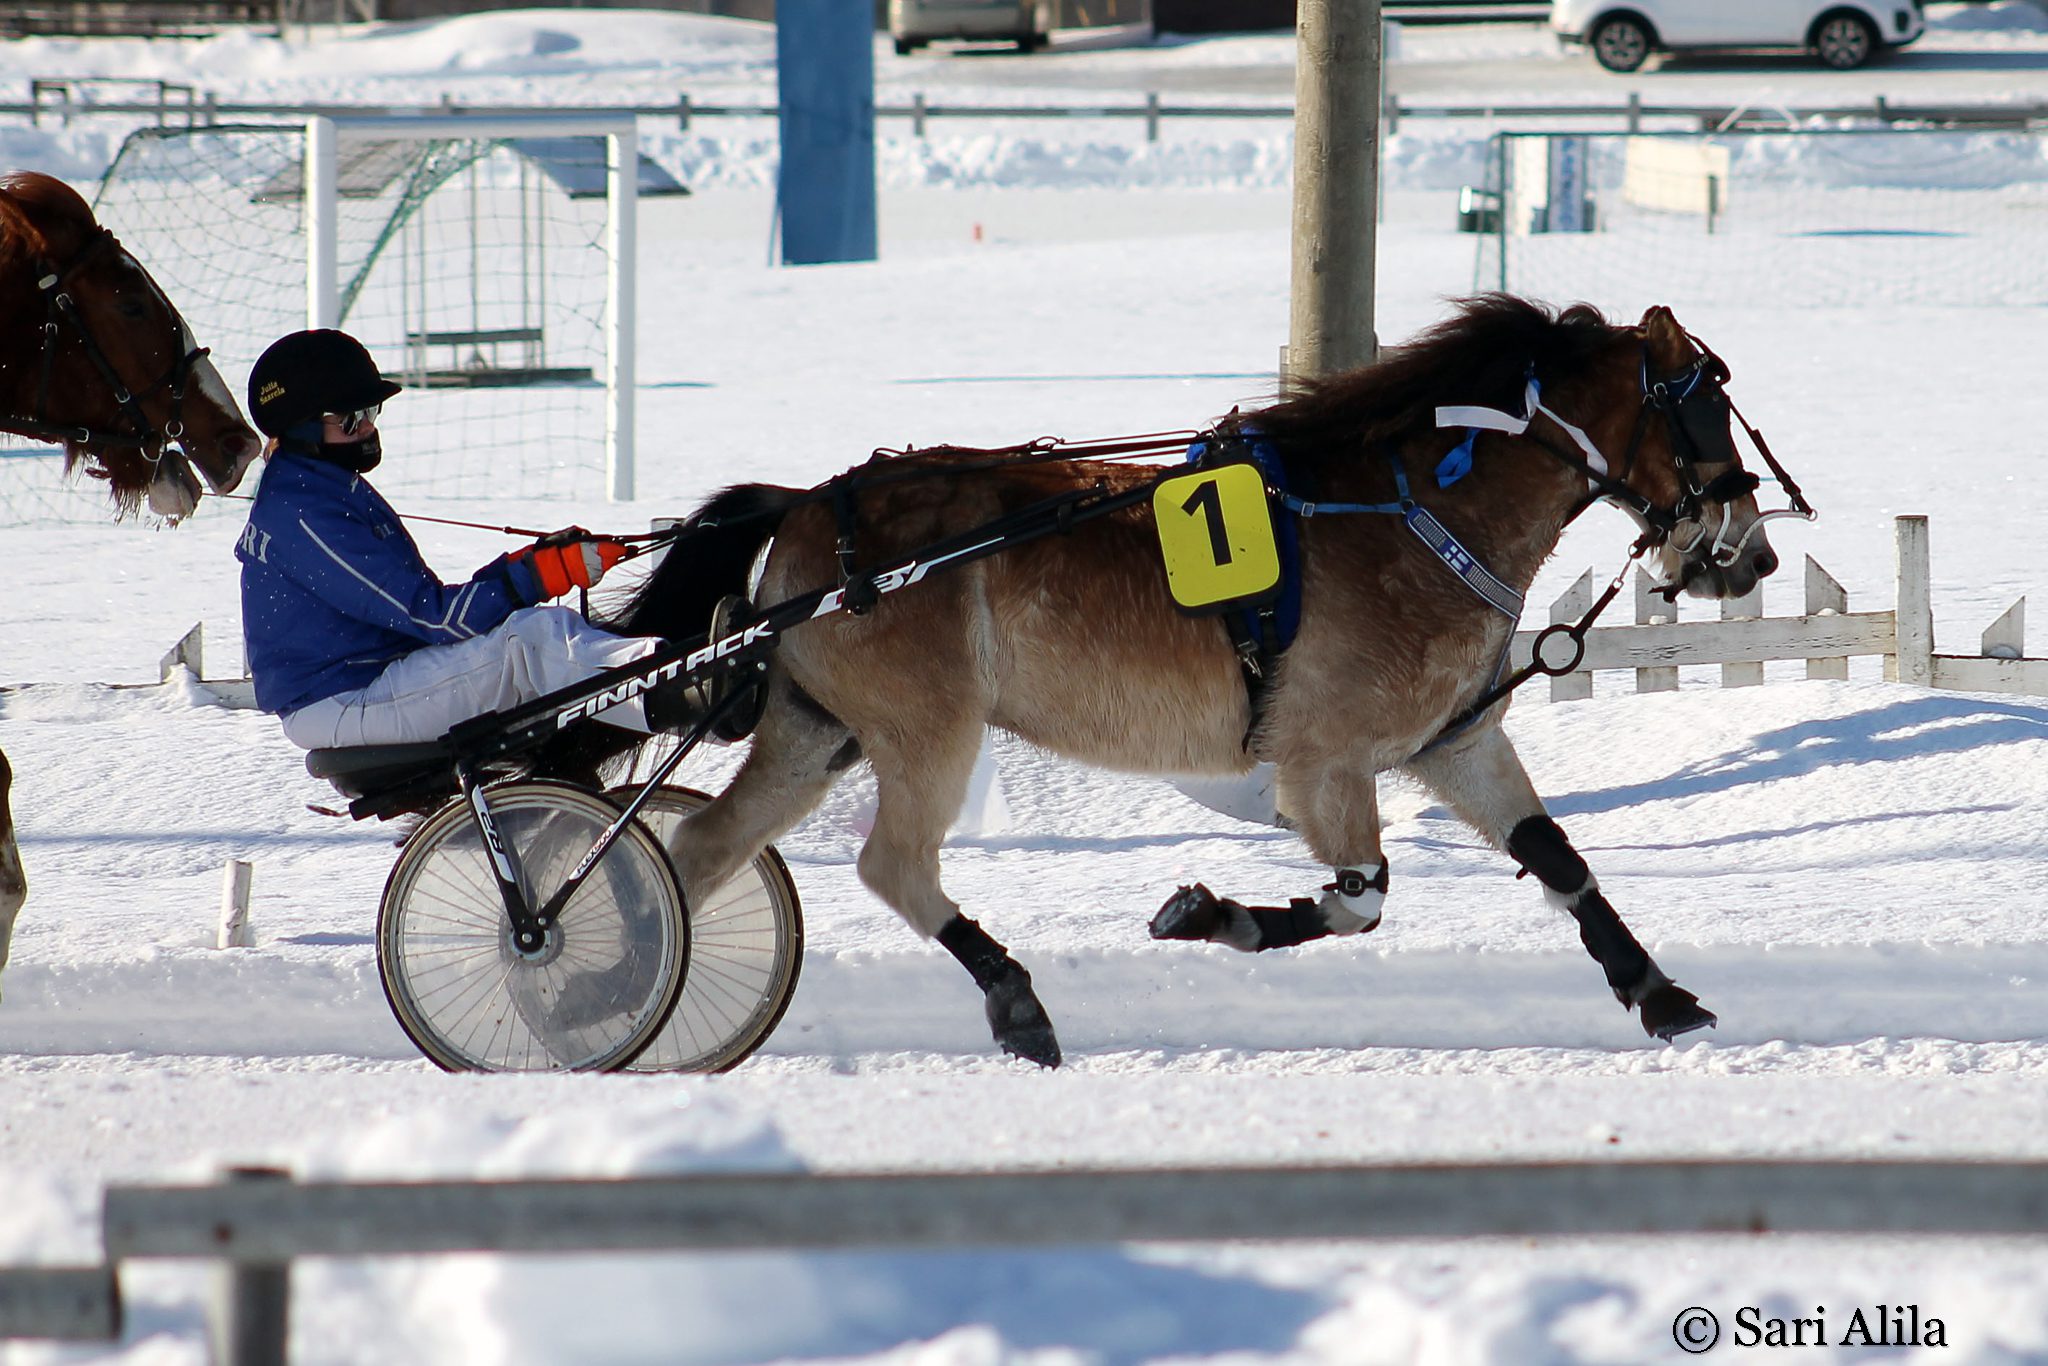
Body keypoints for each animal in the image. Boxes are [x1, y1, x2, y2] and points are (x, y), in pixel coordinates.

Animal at [586, 295, 1798, 1068]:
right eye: (1703, 405)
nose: (1753, 555)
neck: (1412, 505)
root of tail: (803, 507)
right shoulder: (1323, 758)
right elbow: (1357, 898)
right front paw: (1209, 914)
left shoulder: (1453, 738)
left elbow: (1556, 856)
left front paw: (1659, 993)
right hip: (926, 727)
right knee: (890, 865)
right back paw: (1013, 999)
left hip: (815, 728)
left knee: (702, 848)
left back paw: (614, 997)